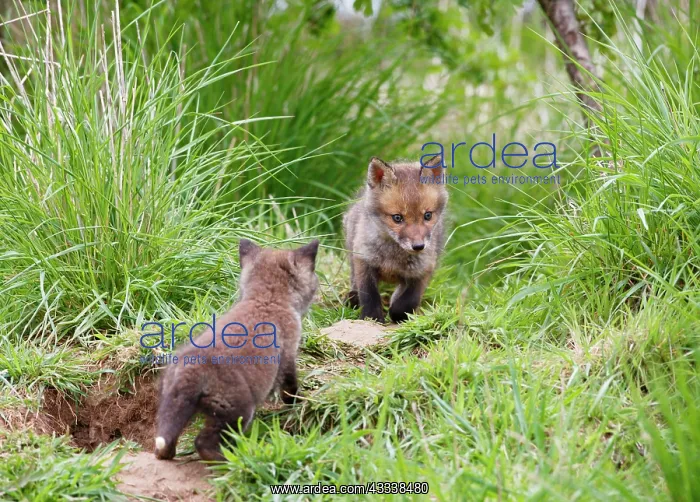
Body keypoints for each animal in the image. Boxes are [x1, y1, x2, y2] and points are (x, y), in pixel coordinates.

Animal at [154, 239, 320, 462]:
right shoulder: (288, 355)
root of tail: (190, 370)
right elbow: (290, 388)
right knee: (202, 443)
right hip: (238, 412)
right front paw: (298, 402)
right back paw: (229, 459)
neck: (267, 298)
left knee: (164, 444)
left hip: (172, 405)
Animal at [343, 155, 448, 323]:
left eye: (427, 215)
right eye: (397, 218)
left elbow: (407, 301)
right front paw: (372, 318)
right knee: (354, 279)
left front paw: (398, 314)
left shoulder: (423, 269)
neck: (392, 258)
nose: (419, 246)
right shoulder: (364, 260)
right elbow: (369, 295)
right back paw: (353, 298)